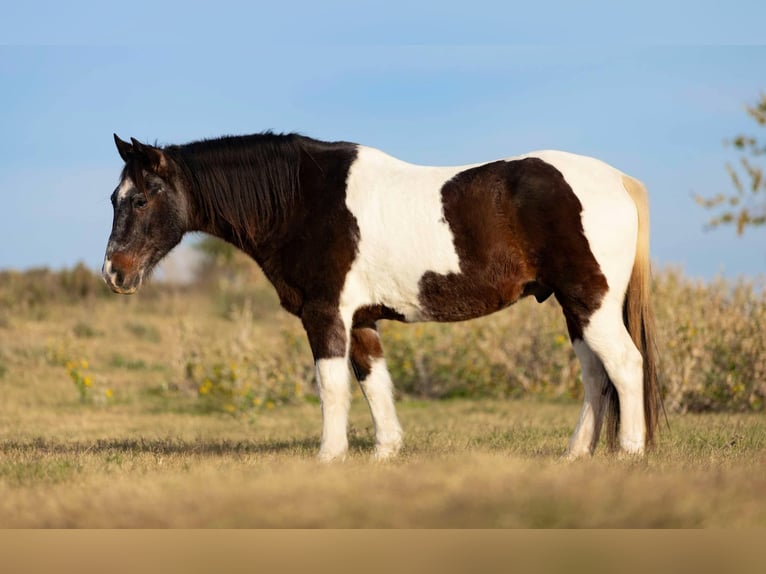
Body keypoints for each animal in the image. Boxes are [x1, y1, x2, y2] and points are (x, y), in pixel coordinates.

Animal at [105, 132, 664, 464]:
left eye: (141, 198)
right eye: (114, 198)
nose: (115, 272)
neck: (302, 200)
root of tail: (618, 180)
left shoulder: (326, 314)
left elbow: (333, 386)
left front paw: (329, 457)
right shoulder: (362, 320)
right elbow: (373, 381)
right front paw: (385, 452)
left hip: (590, 301)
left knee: (625, 365)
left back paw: (630, 453)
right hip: (576, 307)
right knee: (596, 376)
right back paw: (576, 453)